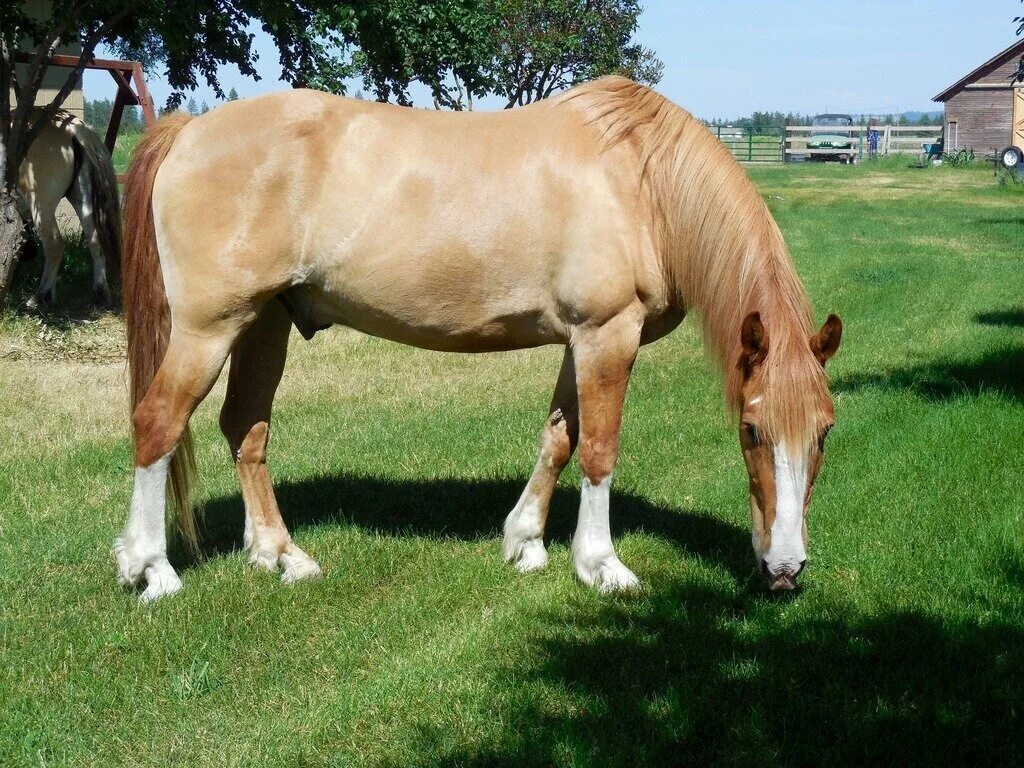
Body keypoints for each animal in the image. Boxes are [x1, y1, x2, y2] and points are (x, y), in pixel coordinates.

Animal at [116, 79, 843, 606]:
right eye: (751, 430)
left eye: (825, 431)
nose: (785, 569)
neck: (640, 180)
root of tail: (188, 131)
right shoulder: (608, 333)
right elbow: (599, 449)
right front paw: (601, 565)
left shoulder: (579, 339)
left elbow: (559, 438)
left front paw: (525, 543)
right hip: (209, 328)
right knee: (158, 423)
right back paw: (150, 569)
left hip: (263, 322)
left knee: (246, 428)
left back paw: (280, 556)